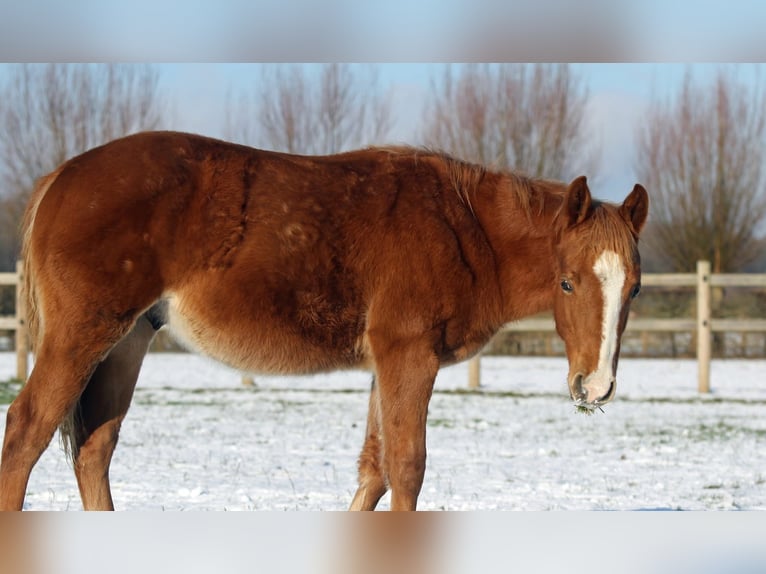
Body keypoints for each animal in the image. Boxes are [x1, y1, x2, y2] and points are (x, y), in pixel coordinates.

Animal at [0, 131, 648, 511]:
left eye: (635, 289)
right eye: (567, 282)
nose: (595, 387)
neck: (462, 227)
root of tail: (61, 177)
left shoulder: (387, 365)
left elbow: (374, 471)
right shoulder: (409, 357)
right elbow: (407, 469)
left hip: (127, 341)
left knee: (94, 449)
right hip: (84, 335)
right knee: (26, 433)